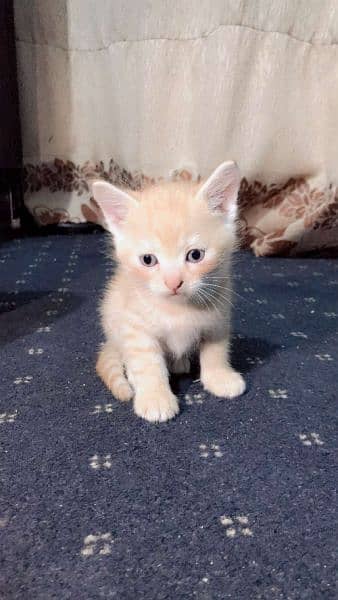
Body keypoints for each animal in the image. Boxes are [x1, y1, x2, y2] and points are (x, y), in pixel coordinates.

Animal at [92, 159, 246, 422]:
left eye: (195, 255)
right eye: (148, 260)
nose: (174, 282)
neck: (178, 310)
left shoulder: (218, 318)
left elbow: (216, 350)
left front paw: (219, 377)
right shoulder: (135, 326)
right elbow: (146, 362)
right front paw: (155, 396)